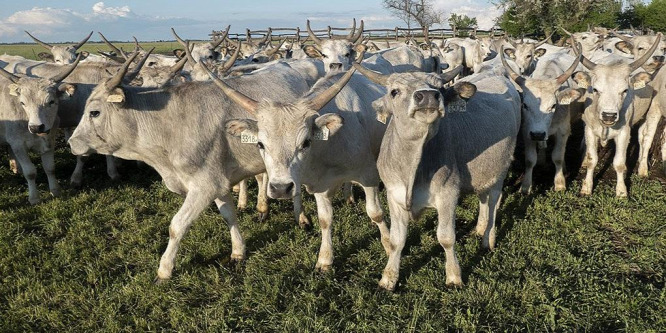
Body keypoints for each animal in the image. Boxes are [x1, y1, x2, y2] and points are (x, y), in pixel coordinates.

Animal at [0, 56, 80, 202]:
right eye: (22, 103)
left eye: (51, 102)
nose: (36, 127)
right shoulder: (18, 145)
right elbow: (30, 172)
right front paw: (34, 198)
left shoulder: (49, 141)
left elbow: (50, 168)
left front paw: (55, 191)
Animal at [66, 53, 310, 280]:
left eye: (94, 112)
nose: (71, 143)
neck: (170, 124)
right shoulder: (219, 181)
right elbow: (229, 216)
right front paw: (238, 251)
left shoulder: (205, 186)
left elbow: (177, 225)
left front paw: (164, 270)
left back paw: (301, 217)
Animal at [356, 63, 520, 290]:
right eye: (394, 91)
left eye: (439, 89)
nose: (427, 96)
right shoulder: (393, 194)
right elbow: (397, 240)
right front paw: (388, 278)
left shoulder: (448, 194)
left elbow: (446, 237)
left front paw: (454, 276)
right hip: (481, 171)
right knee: (484, 198)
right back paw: (479, 228)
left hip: (500, 169)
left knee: (495, 200)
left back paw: (488, 238)